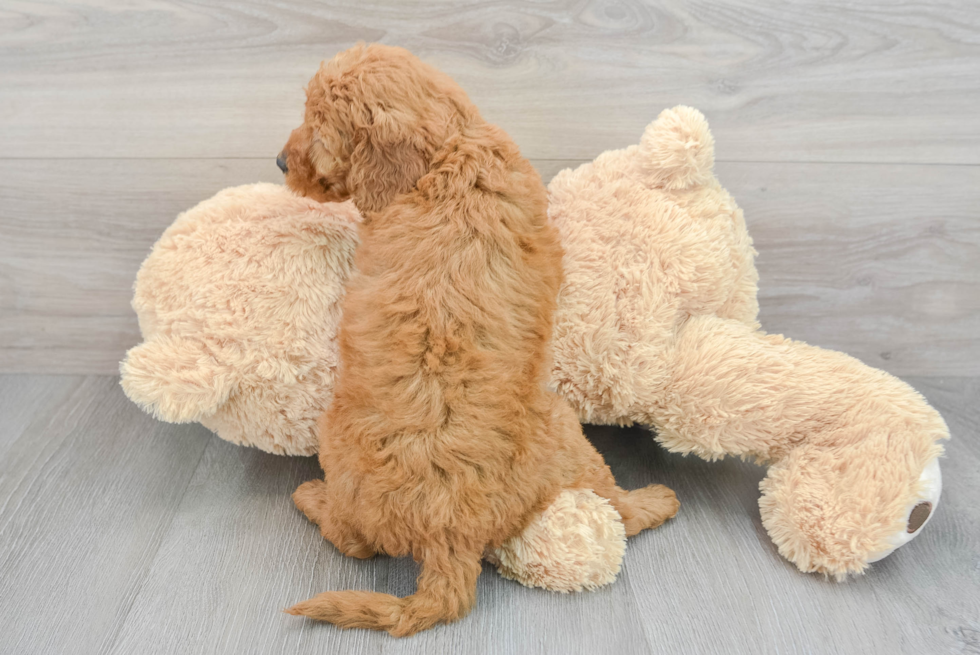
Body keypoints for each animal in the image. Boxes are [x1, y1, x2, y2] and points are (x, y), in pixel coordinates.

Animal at [276, 44, 672, 636]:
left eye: (321, 130)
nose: (281, 163)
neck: (449, 149)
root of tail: (447, 534)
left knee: (353, 540)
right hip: (564, 431)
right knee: (615, 507)